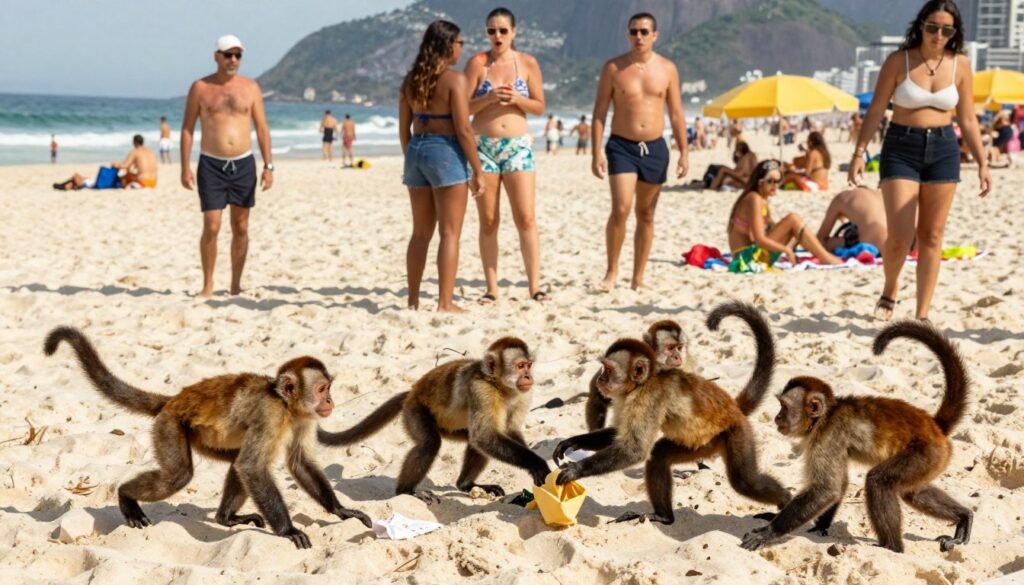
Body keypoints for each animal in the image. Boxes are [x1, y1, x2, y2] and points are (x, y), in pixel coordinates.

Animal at [44, 326, 372, 549]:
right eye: (321, 389)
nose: (329, 402)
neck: (286, 405)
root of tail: (174, 400)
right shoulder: (269, 413)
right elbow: (253, 468)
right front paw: (287, 530)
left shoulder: (304, 419)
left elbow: (298, 463)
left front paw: (340, 510)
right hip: (170, 426)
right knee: (179, 475)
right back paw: (126, 496)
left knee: (235, 461)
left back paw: (225, 519)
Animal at [318, 337, 550, 500]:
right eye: (520, 366)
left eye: (528, 365)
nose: (528, 376)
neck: (500, 386)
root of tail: (412, 392)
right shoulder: (481, 390)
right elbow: (485, 436)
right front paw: (537, 464)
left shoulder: (524, 393)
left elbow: (505, 432)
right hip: (414, 411)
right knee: (431, 442)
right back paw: (405, 491)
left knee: (474, 440)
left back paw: (466, 485)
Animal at [552, 301, 789, 524]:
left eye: (608, 370)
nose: (601, 378)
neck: (643, 383)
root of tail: (733, 407)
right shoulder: (625, 398)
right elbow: (619, 434)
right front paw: (573, 442)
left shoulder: (647, 398)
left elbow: (634, 450)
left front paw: (576, 470)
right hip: (705, 443)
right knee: (659, 455)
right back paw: (664, 516)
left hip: (736, 431)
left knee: (744, 481)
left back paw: (785, 501)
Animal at [741, 320, 972, 553]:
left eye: (785, 407)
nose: (777, 417)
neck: (827, 415)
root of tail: (934, 424)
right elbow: (839, 485)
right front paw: (819, 526)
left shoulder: (827, 435)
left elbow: (827, 490)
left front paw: (768, 533)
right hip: (934, 459)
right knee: (912, 492)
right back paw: (964, 516)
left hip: (927, 451)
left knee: (879, 481)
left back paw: (893, 547)